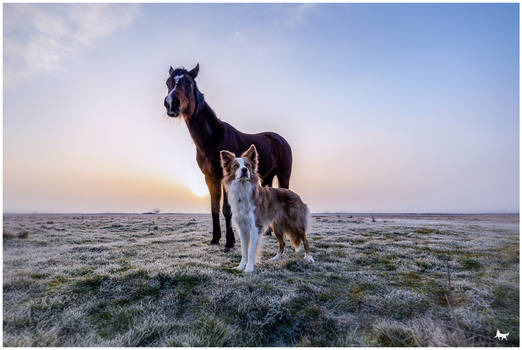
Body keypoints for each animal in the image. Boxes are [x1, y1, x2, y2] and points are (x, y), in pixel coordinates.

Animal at [164, 63, 292, 252]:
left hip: (283, 175)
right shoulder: (210, 178)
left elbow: (227, 210)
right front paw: (215, 239)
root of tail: (281, 139)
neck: (213, 138)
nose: (171, 103)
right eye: (168, 82)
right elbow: (214, 208)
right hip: (267, 176)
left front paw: (229, 243)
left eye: (188, 82)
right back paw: (267, 231)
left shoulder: (226, 178)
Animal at [219, 144, 312, 272]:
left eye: (247, 165)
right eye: (235, 166)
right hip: (276, 226)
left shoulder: (255, 226)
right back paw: (276, 258)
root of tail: (296, 194)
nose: (244, 170)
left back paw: (309, 258)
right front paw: (240, 266)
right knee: (282, 243)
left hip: (296, 223)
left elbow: (251, 251)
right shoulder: (242, 228)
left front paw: (248, 269)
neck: (242, 189)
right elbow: (244, 250)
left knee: (305, 239)